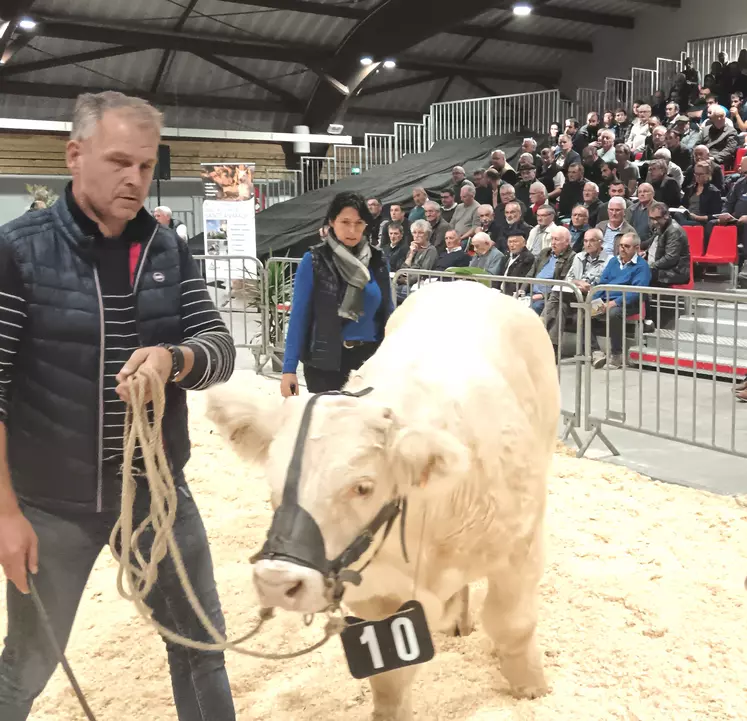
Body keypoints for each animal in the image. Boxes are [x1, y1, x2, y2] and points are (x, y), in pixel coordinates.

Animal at [207, 280, 560, 720]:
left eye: (363, 487)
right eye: (274, 487)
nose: (277, 581)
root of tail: (465, 281)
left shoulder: (522, 548)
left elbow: (512, 624)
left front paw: (532, 689)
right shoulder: (375, 595)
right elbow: (389, 678)